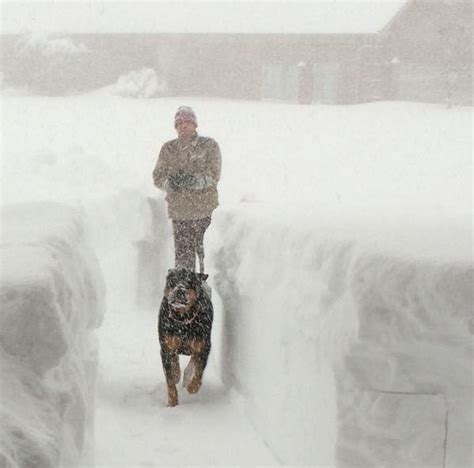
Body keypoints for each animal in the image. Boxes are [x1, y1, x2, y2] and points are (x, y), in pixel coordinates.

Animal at [157, 266, 213, 406]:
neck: (183, 319)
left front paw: (193, 387)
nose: (180, 289)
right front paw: (172, 401)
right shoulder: (166, 347)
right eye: (173, 281)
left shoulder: (204, 346)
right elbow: (170, 377)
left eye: (189, 282)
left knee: (193, 363)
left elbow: (199, 370)